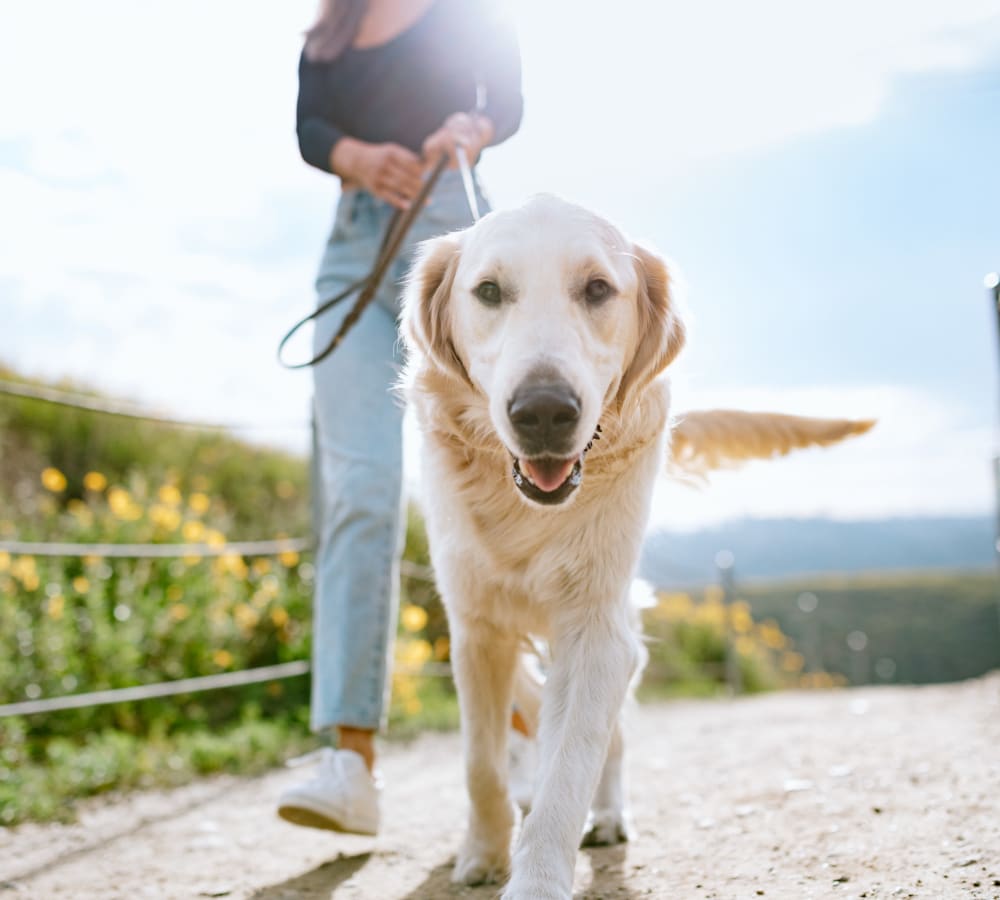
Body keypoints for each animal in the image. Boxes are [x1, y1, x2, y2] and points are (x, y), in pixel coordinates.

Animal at [402, 193, 872, 896]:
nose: (544, 412)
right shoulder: (476, 629)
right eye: (488, 291)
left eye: (597, 289)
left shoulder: (597, 630)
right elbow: (479, 762)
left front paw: (537, 876)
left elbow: (570, 767)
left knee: (611, 741)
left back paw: (608, 815)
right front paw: (483, 852)